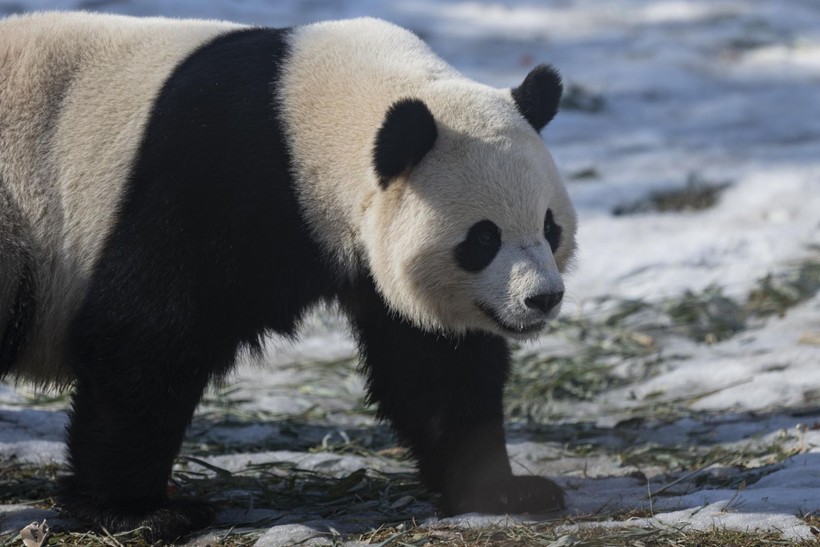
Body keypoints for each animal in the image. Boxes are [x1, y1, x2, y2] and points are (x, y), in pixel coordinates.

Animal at [0, 10, 576, 540]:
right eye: (483, 239)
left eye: (549, 228)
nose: (542, 299)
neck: (302, 117)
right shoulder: (206, 173)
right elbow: (144, 335)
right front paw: (140, 511)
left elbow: (433, 363)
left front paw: (502, 490)